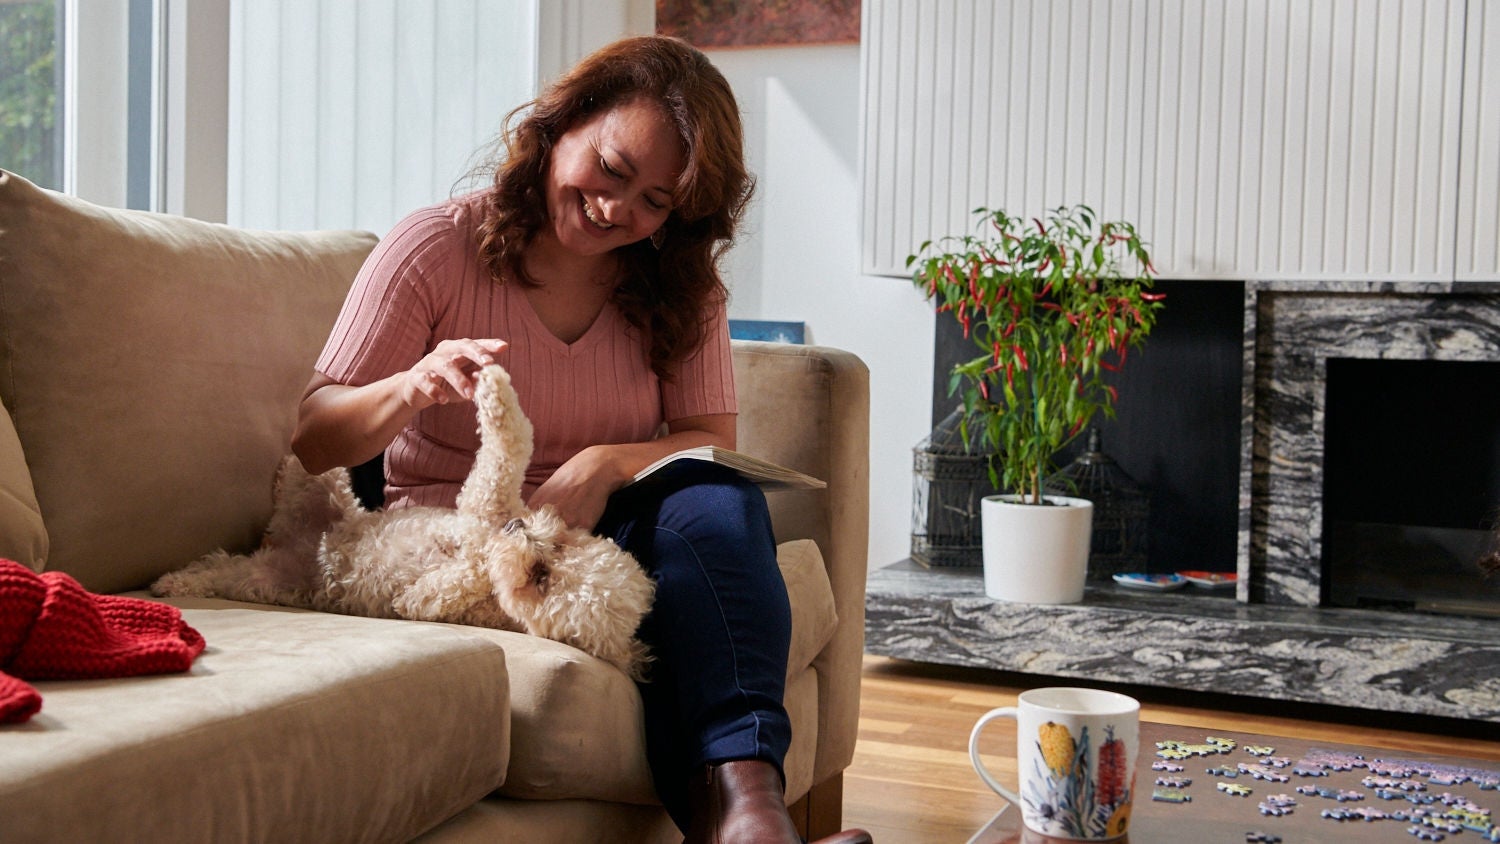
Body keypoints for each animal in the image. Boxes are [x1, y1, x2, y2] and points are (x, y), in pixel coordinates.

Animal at [150, 362, 657, 680]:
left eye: (541, 578)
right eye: (559, 548)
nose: (518, 530)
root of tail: (293, 543)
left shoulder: (475, 527)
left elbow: (451, 578)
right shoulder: (487, 508)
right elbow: (512, 446)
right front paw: (490, 377)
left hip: (259, 579)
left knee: (218, 568)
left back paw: (175, 582)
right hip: (327, 483)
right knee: (309, 459)